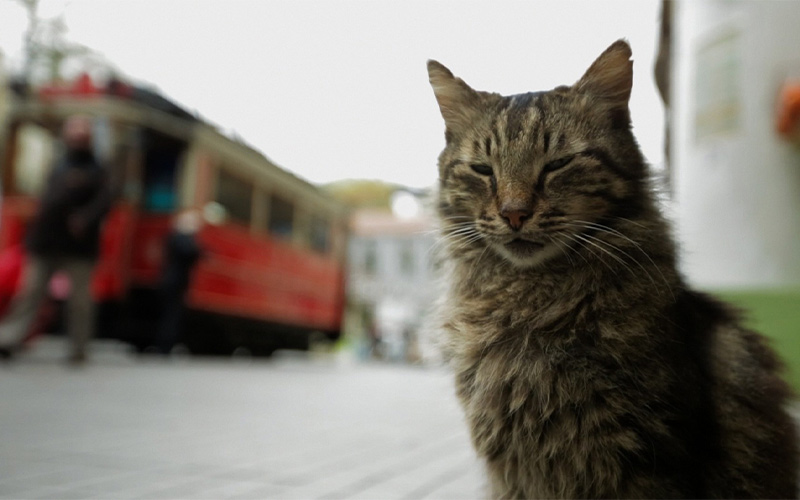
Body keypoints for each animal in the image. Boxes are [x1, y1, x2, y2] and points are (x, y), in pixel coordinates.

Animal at [428, 40, 796, 500]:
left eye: (558, 164)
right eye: (482, 170)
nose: (514, 213)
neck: (526, 299)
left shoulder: (646, 452)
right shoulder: (509, 469)